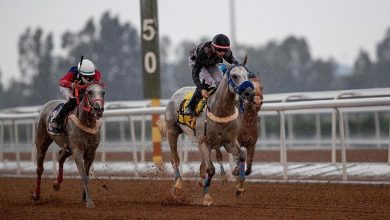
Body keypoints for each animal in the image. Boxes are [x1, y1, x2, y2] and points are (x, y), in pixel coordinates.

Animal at [159, 61, 256, 205]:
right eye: (234, 76)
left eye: (248, 75)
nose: (249, 93)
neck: (220, 111)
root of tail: (176, 93)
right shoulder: (203, 142)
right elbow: (210, 169)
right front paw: (206, 191)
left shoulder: (229, 142)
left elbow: (242, 156)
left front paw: (239, 185)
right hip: (172, 131)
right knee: (175, 159)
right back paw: (179, 186)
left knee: (202, 165)